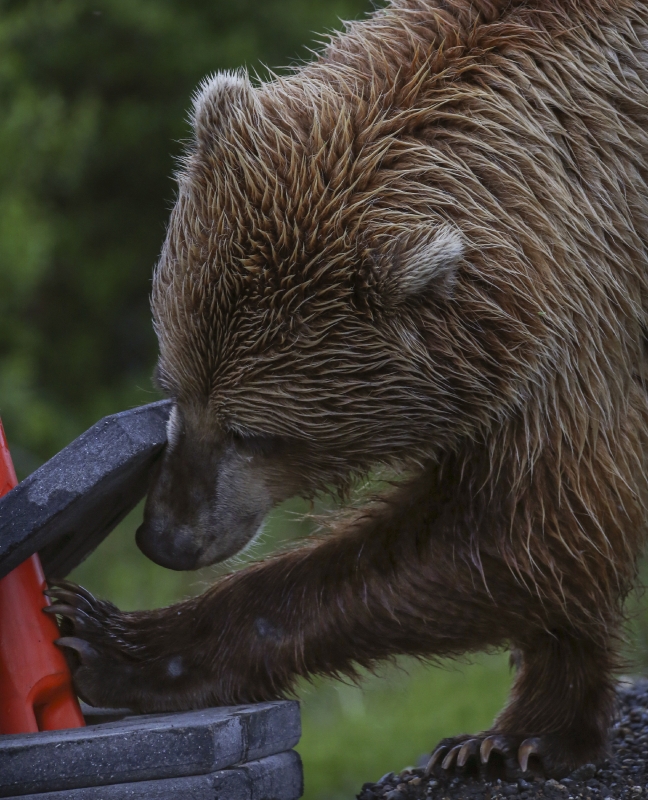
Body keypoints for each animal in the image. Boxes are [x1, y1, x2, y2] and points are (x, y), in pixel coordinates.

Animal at [50, 0, 648, 780]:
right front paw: (526, 730)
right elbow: (556, 534)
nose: (166, 538)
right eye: (171, 385)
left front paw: (116, 643)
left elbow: (532, 523)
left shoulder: (588, 319)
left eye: (256, 431)